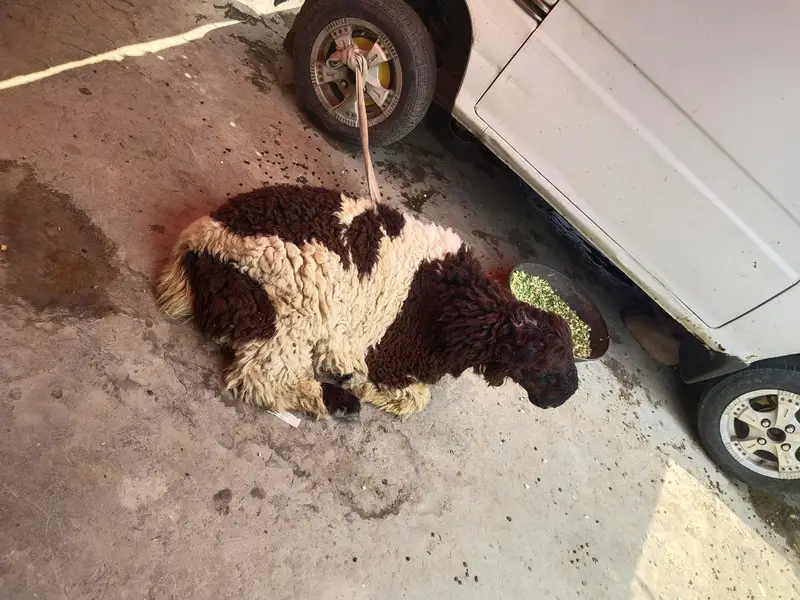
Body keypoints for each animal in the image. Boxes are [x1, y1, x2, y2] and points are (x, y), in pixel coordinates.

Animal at [156, 185, 579, 420]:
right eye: (547, 359)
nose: (568, 394)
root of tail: (196, 245)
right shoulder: (393, 356)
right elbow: (417, 398)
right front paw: (363, 387)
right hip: (296, 300)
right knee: (260, 376)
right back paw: (339, 401)